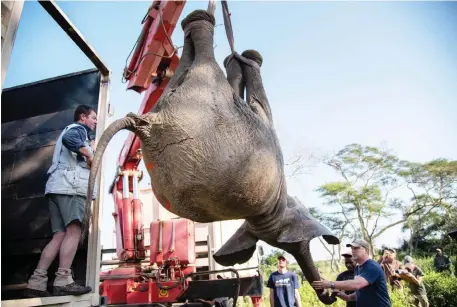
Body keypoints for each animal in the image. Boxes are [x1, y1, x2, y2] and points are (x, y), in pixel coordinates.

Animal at [83, 8, 338, 304]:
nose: (330, 295)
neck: (266, 217)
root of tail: (149, 123)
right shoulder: (261, 127)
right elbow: (260, 104)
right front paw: (247, 58)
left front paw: (237, 58)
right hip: (204, 95)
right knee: (206, 59)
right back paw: (205, 21)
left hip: (183, 96)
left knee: (186, 63)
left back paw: (194, 23)